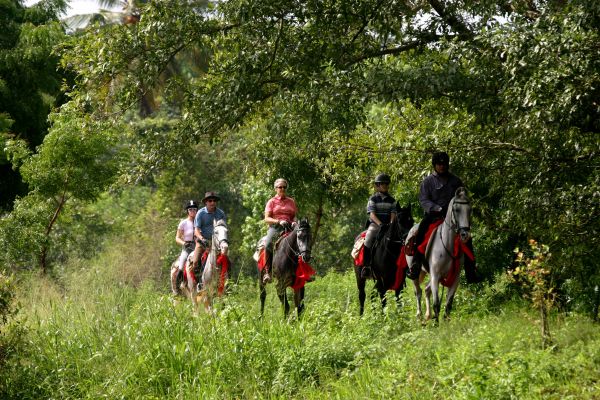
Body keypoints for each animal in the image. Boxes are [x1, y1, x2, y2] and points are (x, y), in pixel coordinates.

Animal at [406, 187, 472, 322]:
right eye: (456, 210)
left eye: (469, 210)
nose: (465, 235)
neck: (449, 244)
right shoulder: (435, 276)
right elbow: (436, 304)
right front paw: (436, 324)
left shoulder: (454, 278)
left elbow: (448, 304)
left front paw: (446, 322)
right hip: (416, 274)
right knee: (418, 292)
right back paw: (420, 315)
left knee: (426, 290)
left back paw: (427, 315)